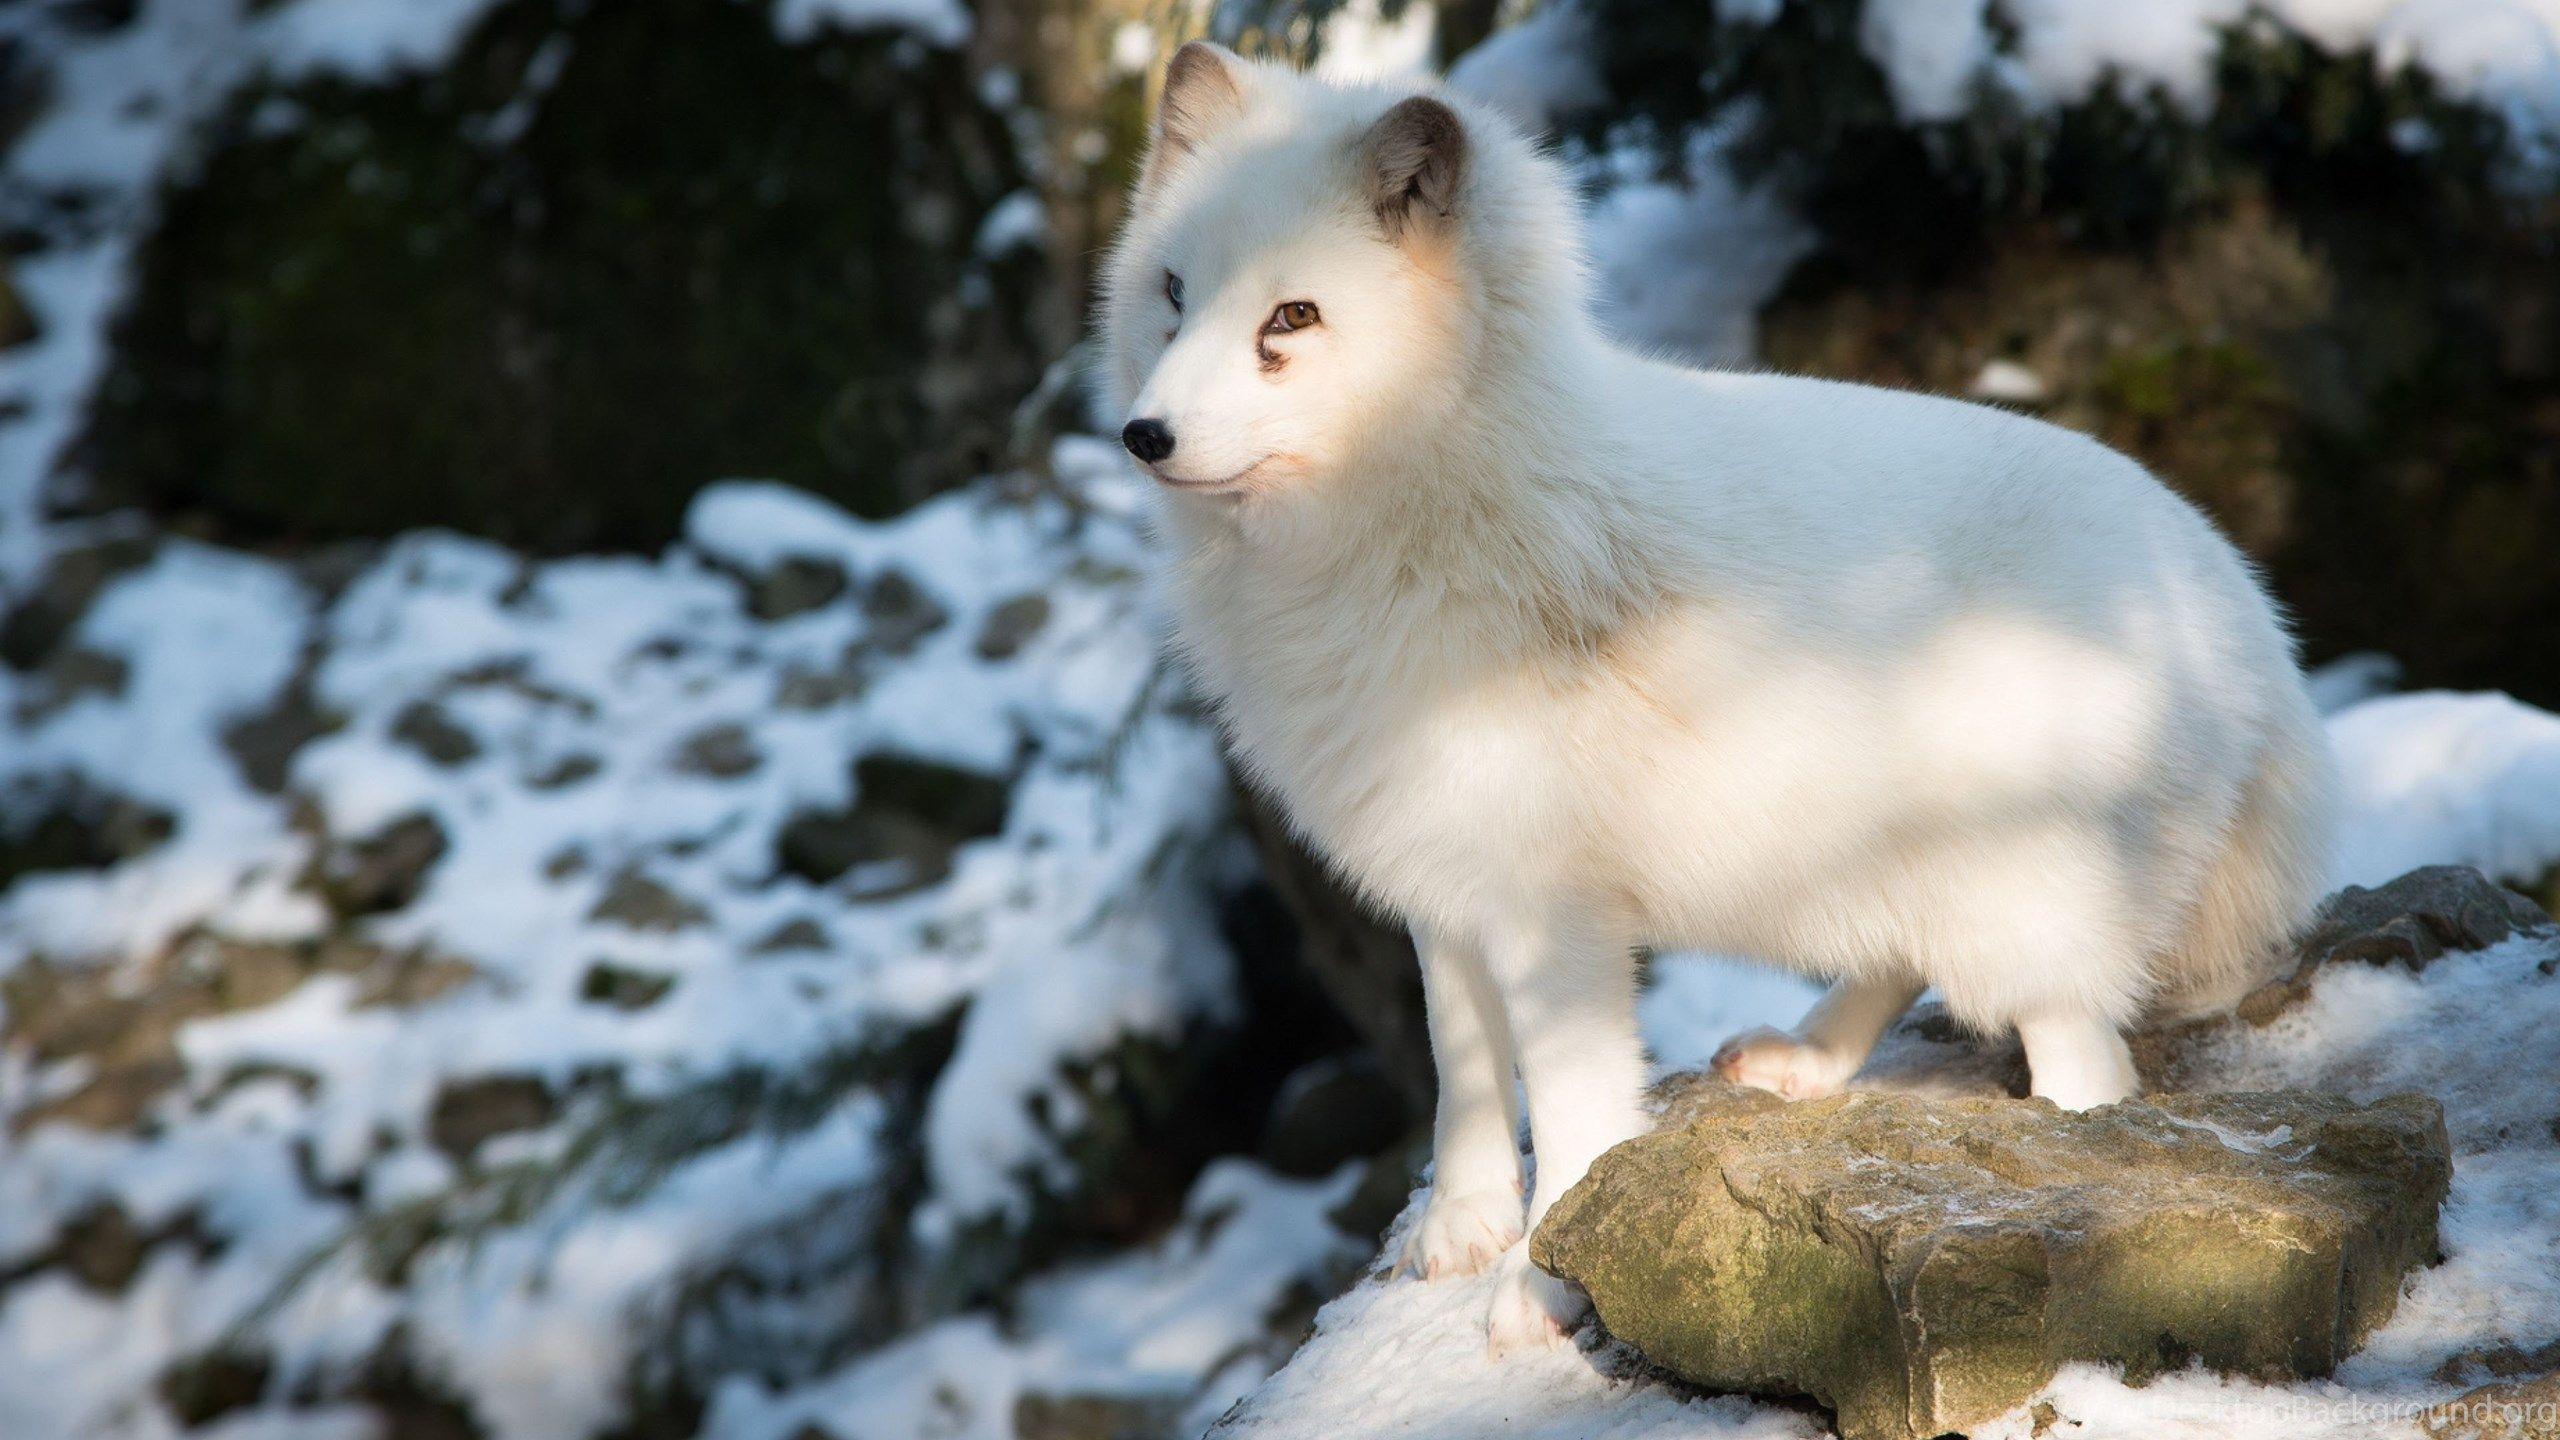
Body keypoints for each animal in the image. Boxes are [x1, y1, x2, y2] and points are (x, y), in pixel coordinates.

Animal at [1099, 42, 2338, 1354]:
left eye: (1290, 318)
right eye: (1173, 291)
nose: (1143, 434)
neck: (1425, 512)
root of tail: (2242, 609)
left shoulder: (1555, 917)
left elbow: (1572, 1108)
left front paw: (1541, 1282)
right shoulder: (1441, 880)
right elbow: (1462, 1069)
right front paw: (1460, 1233)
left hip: (2029, 905)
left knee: (2087, 1069)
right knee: (1900, 962)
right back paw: (1804, 1063)